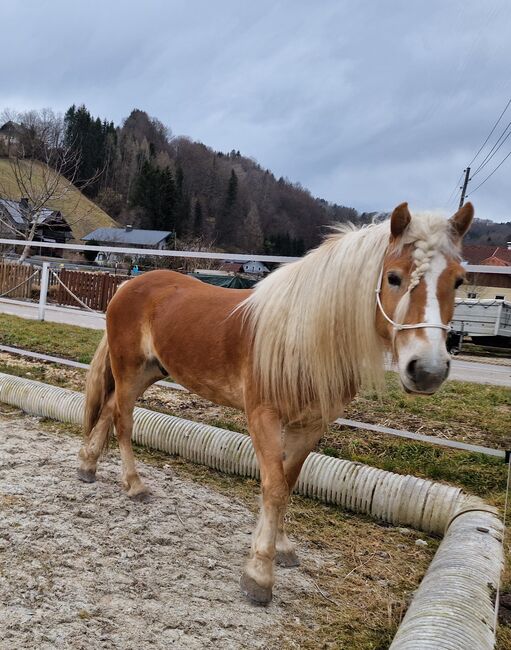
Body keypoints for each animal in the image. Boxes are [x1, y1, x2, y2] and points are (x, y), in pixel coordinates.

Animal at [78, 201, 474, 604]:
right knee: (123, 419)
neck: (303, 338)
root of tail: (128, 284)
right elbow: (274, 487)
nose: (427, 370)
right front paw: (259, 575)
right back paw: (134, 484)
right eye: (393, 277)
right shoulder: (264, 417)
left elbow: (288, 481)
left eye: (458, 281)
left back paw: (88, 466)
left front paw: (280, 548)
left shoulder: (311, 424)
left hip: (150, 371)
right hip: (129, 369)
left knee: (109, 409)